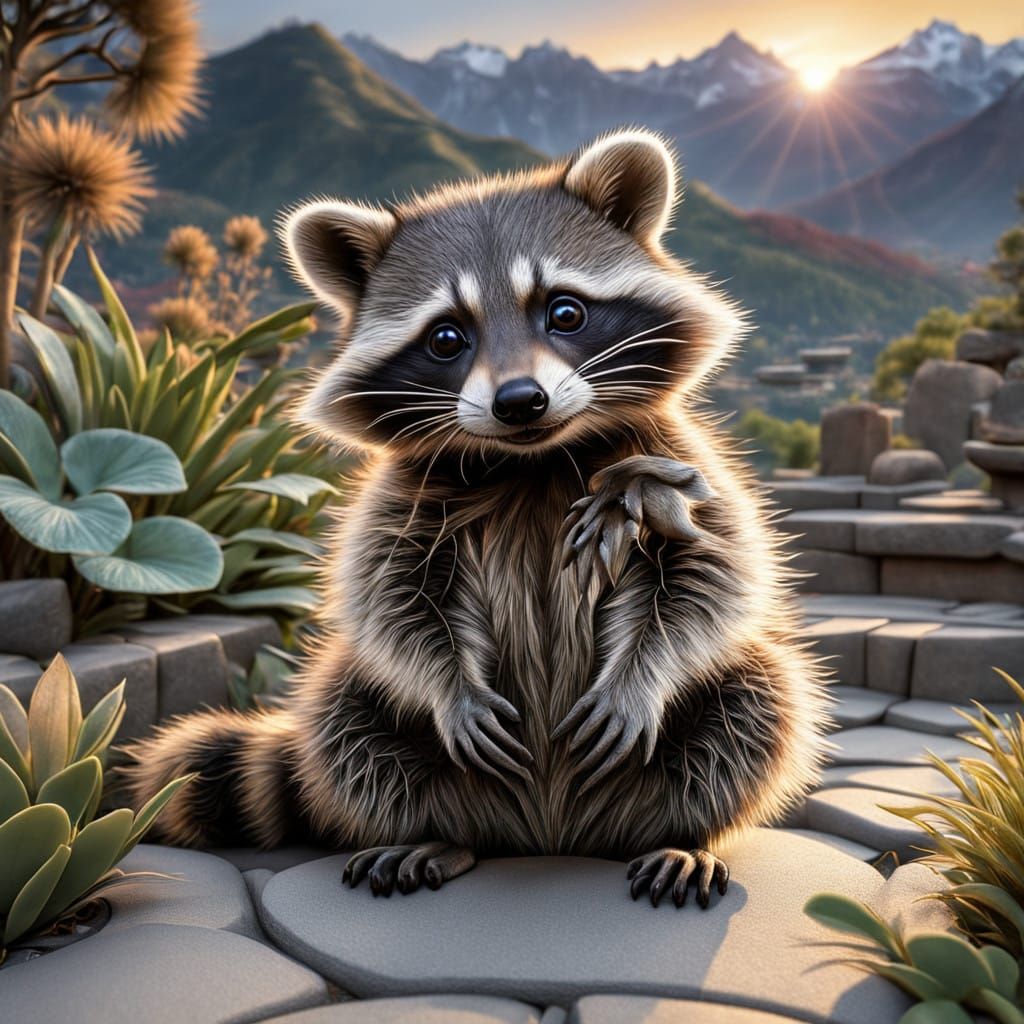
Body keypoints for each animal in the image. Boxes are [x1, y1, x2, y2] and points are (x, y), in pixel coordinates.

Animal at [124, 128, 830, 909]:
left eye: (565, 312)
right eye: (446, 338)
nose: (520, 401)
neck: (534, 460)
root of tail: (549, 836)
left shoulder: (676, 462)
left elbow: (712, 576)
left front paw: (641, 676)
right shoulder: (404, 497)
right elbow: (391, 600)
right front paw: (450, 689)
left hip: (709, 725)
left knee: (761, 698)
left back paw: (687, 834)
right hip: (397, 740)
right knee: (345, 714)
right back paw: (437, 834)